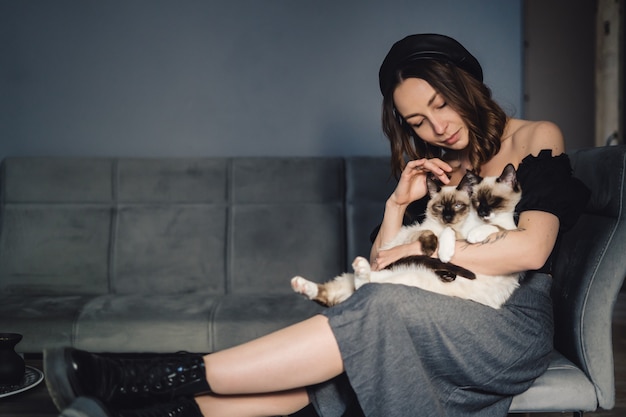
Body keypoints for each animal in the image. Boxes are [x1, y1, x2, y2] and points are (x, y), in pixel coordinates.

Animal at [292, 163, 520, 308]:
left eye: (457, 206)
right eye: (439, 207)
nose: (447, 217)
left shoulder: (463, 234)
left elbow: (454, 235)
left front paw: (446, 251)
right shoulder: (421, 233)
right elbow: (432, 234)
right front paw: (436, 249)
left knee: (357, 288)